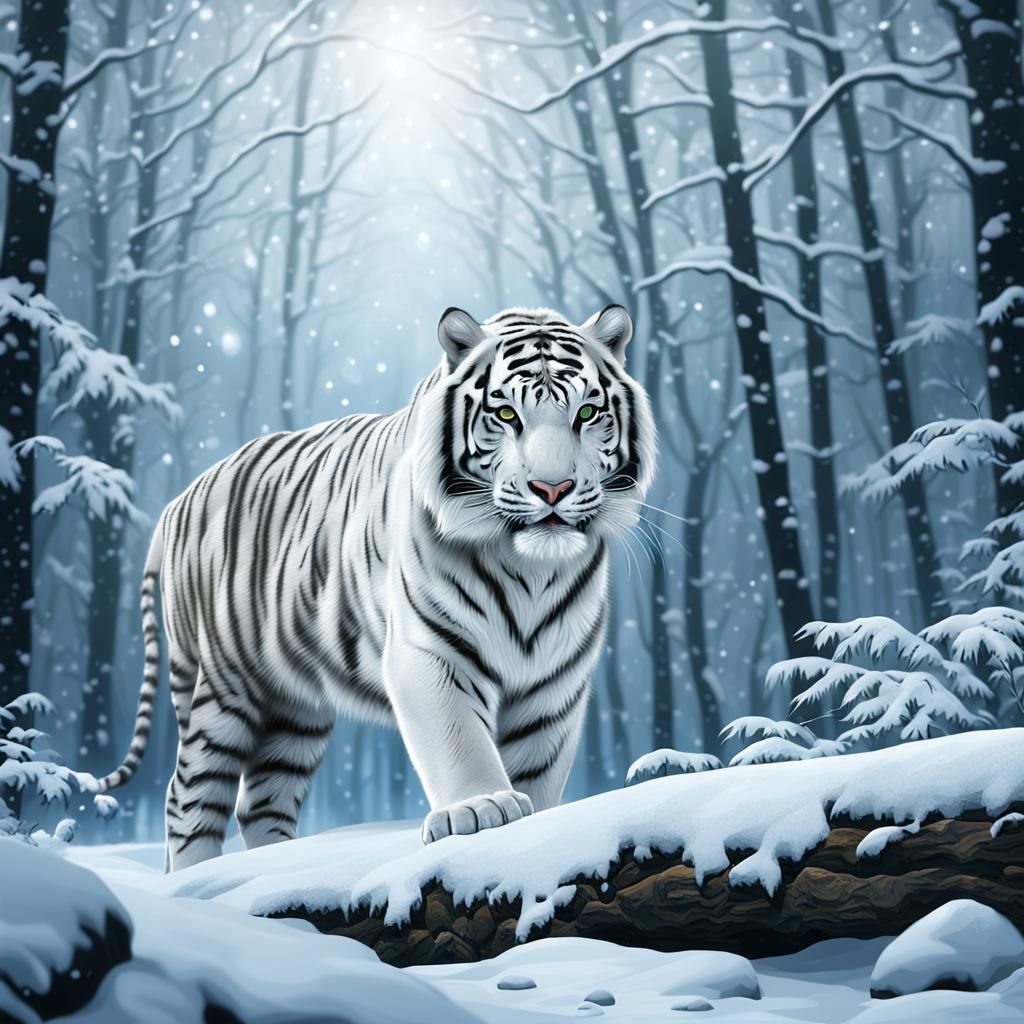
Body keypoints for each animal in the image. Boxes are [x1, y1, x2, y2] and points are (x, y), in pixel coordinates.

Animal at [96, 304, 656, 871]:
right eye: (504, 415)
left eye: (587, 413)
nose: (552, 488)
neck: (533, 571)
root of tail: (177, 500)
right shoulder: (430, 649)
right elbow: (459, 735)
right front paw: (482, 809)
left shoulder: (556, 679)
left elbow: (540, 764)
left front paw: (535, 825)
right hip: (227, 684)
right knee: (189, 795)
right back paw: (198, 876)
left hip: (294, 706)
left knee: (261, 799)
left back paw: (273, 866)